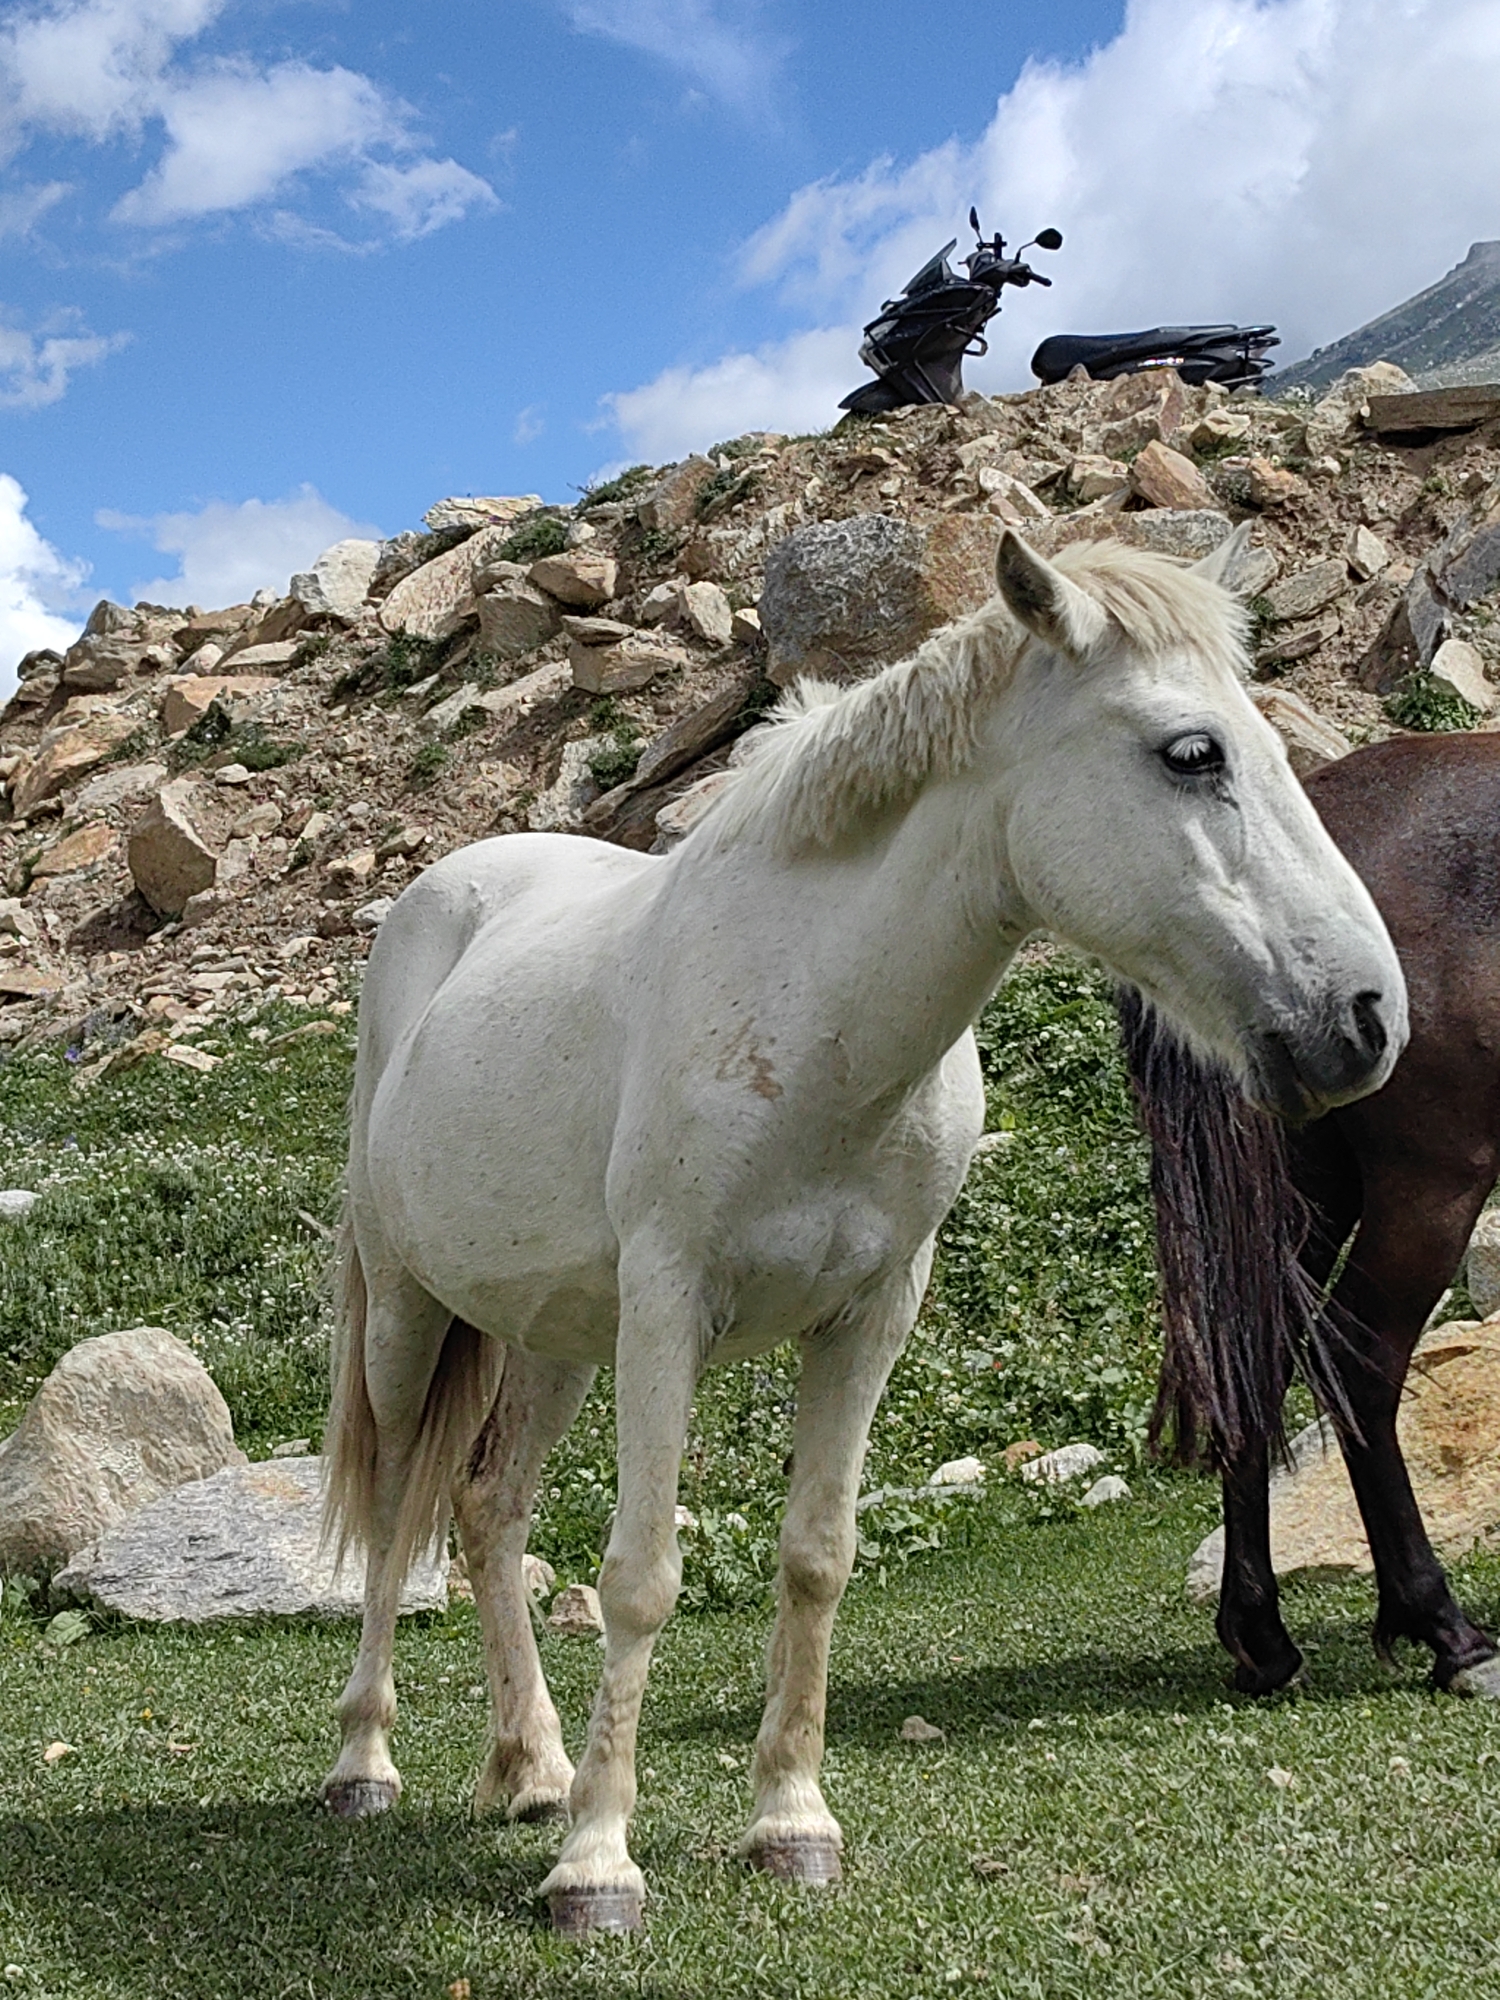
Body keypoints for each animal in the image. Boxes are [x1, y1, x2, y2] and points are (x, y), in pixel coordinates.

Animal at [320, 527, 1406, 1936]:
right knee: (398, 1509)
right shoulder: (667, 1304)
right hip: (409, 1312)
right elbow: (640, 1576)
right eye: (1191, 752)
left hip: (555, 1334)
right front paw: (599, 1863)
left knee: (487, 1508)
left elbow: (818, 1557)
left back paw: (531, 1764)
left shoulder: (868, 1315)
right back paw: (367, 1759)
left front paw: (790, 1820)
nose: (1369, 1016)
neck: (814, 1015)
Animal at [1122, 731, 1500, 1700]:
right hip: (1426, 1187)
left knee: (1257, 1360)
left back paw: (1260, 1635)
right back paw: (1446, 1631)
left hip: (1303, 1191)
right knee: (1360, 1364)